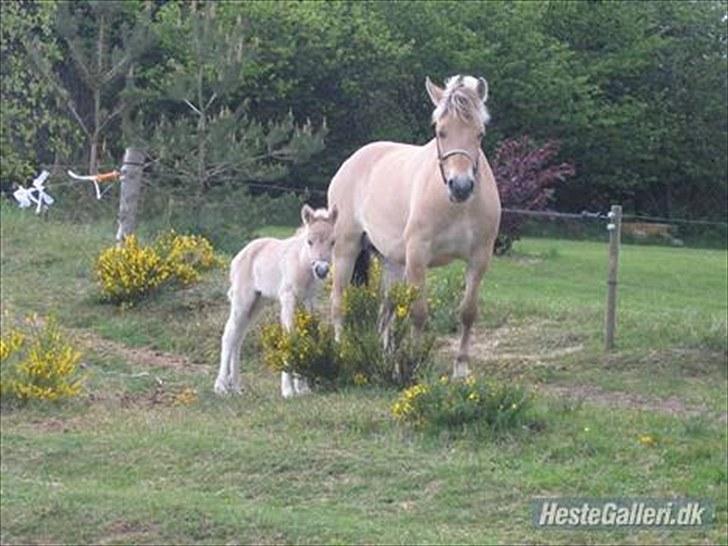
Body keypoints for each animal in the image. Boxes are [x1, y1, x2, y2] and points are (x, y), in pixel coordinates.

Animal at [213, 204, 338, 396]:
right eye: (309, 241)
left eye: (333, 242)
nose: (322, 270)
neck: (301, 263)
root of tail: (239, 256)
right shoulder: (288, 298)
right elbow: (289, 335)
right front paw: (288, 390)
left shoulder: (308, 300)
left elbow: (307, 333)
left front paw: (303, 388)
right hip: (243, 300)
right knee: (229, 334)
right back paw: (221, 387)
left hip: (257, 303)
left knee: (239, 337)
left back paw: (236, 386)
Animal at [328, 74, 500, 376]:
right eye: (440, 131)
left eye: (479, 134)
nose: (461, 186)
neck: (457, 207)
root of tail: (349, 163)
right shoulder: (418, 255)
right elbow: (418, 312)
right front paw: (415, 361)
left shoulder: (479, 258)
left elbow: (467, 312)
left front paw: (461, 369)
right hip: (345, 250)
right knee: (339, 302)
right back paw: (341, 352)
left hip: (391, 261)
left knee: (384, 310)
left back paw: (386, 359)